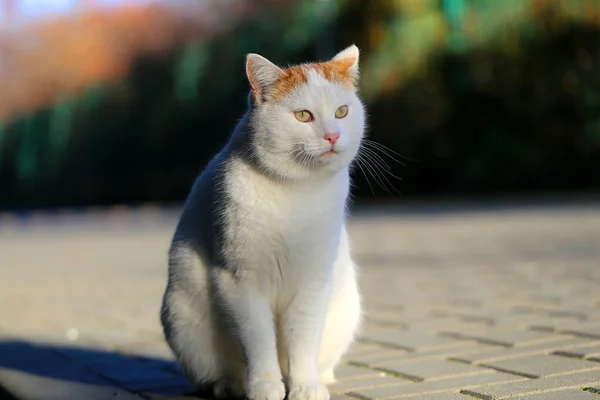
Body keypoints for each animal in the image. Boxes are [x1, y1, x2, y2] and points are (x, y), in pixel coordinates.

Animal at [159, 43, 364, 400]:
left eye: (341, 112)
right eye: (303, 116)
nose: (332, 136)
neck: (296, 193)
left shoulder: (312, 281)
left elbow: (302, 340)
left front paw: (304, 385)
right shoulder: (240, 282)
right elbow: (258, 341)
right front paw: (265, 385)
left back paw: (321, 378)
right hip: (182, 319)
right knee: (217, 371)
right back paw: (229, 385)